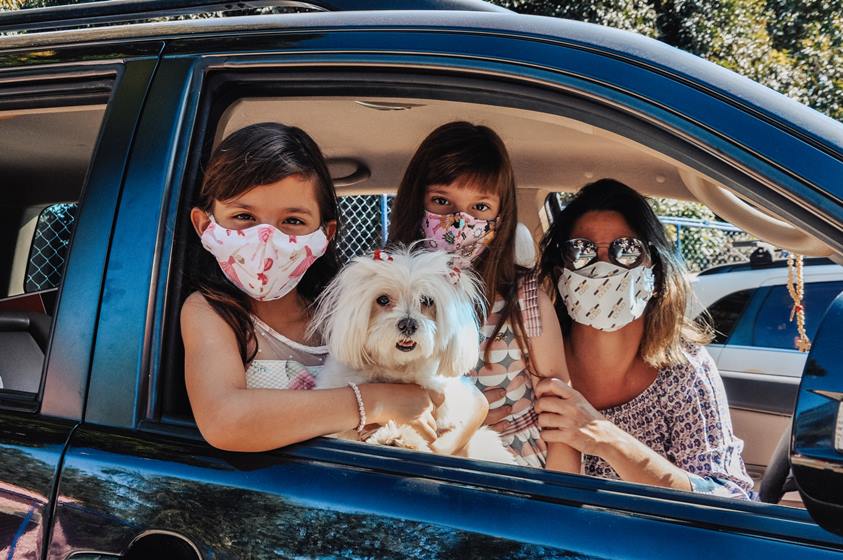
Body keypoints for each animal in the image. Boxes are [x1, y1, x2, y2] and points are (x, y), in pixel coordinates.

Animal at [312, 245, 516, 464]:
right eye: (382, 299)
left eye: (427, 300)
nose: (408, 324)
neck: (398, 369)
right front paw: (391, 435)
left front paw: (399, 437)